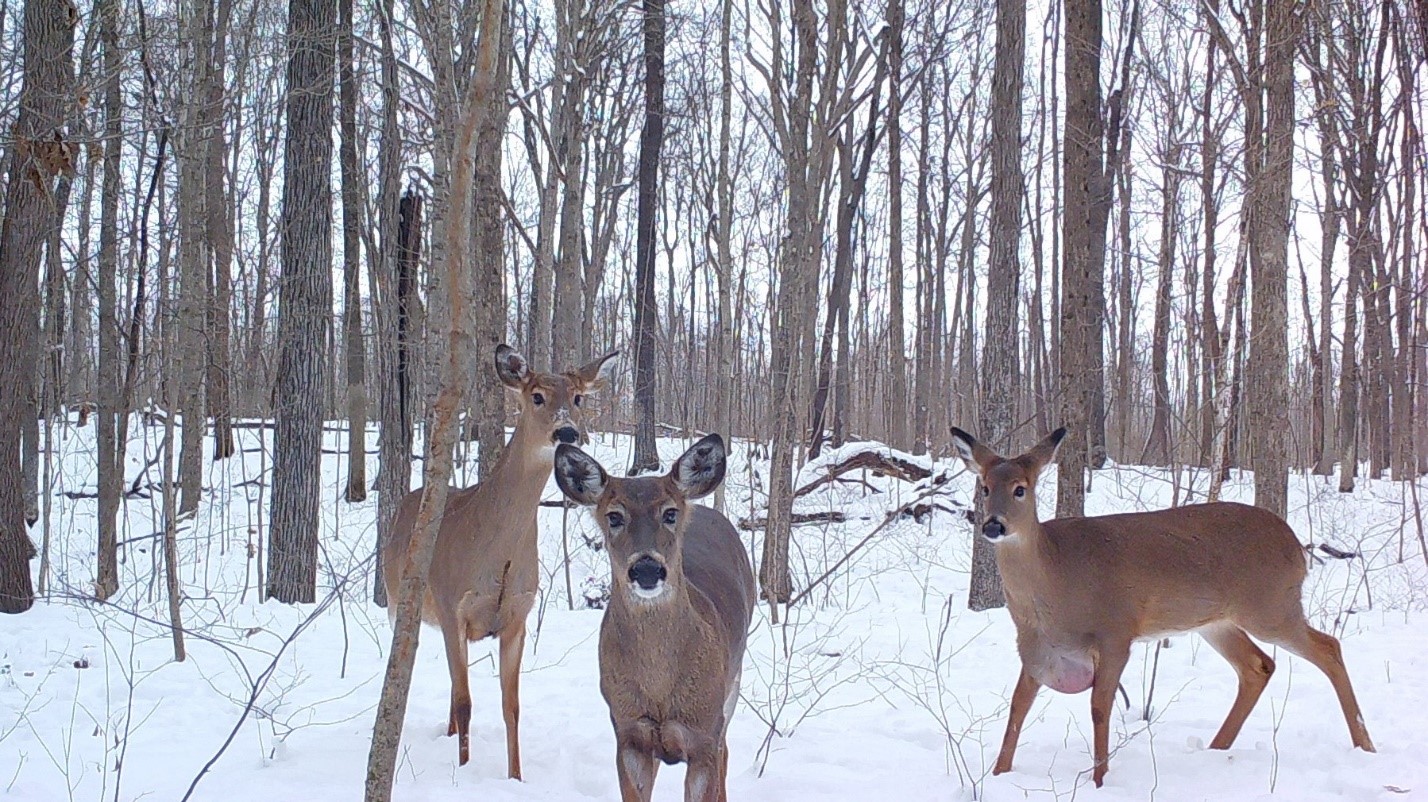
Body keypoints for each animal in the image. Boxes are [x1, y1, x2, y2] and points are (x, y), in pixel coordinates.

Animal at [382, 344, 617, 778]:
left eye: (578, 397)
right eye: (536, 395)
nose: (567, 432)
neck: (497, 556)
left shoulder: (516, 617)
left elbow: (512, 707)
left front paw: (516, 776)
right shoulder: (452, 604)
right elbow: (466, 702)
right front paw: (464, 769)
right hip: (398, 601)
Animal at [553, 434, 755, 802]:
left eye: (670, 512)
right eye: (614, 516)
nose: (646, 568)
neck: (659, 688)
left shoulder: (704, 732)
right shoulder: (629, 731)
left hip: (731, 686)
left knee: (726, 753)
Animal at [949, 425, 1376, 788]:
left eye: (1021, 489)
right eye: (983, 486)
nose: (993, 525)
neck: (1053, 582)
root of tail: (1297, 548)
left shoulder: (1116, 632)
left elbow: (1099, 706)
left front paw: (1100, 780)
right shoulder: (1037, 647)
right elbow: (1018, 706)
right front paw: (998, 774)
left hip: (1271, 606)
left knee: (1328, 647)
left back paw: (1365, 745)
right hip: (1217, 621)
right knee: (1258, 666)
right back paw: (1216, 748)